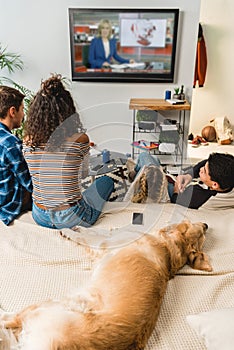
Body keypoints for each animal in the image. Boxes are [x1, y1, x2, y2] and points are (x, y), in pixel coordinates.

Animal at [0, 220, 212, 348]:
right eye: (202, 235)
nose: (206, 224)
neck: (169, 247)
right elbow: (97, 229)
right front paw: (78, 227)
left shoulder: (105, 242)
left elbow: (89, 235)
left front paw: (68, 231)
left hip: (47, 306)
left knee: (10, 318)